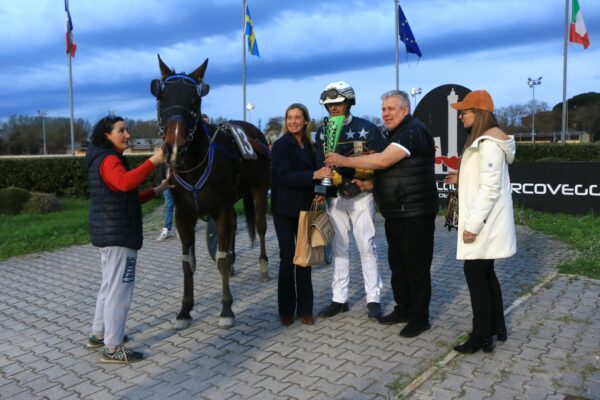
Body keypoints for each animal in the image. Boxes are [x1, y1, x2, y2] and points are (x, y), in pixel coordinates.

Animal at [151, 55, 270, 328]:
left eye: (195, 100)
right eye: (162, 98)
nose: (174, 147)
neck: (194, 168)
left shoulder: (221, 209)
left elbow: (222, 258)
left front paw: (226, 309)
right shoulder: (184, 215)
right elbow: (187, 263)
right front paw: (185, 310)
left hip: (259, 189)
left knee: (260, 227)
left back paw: (263, 266)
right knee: (234, 229)